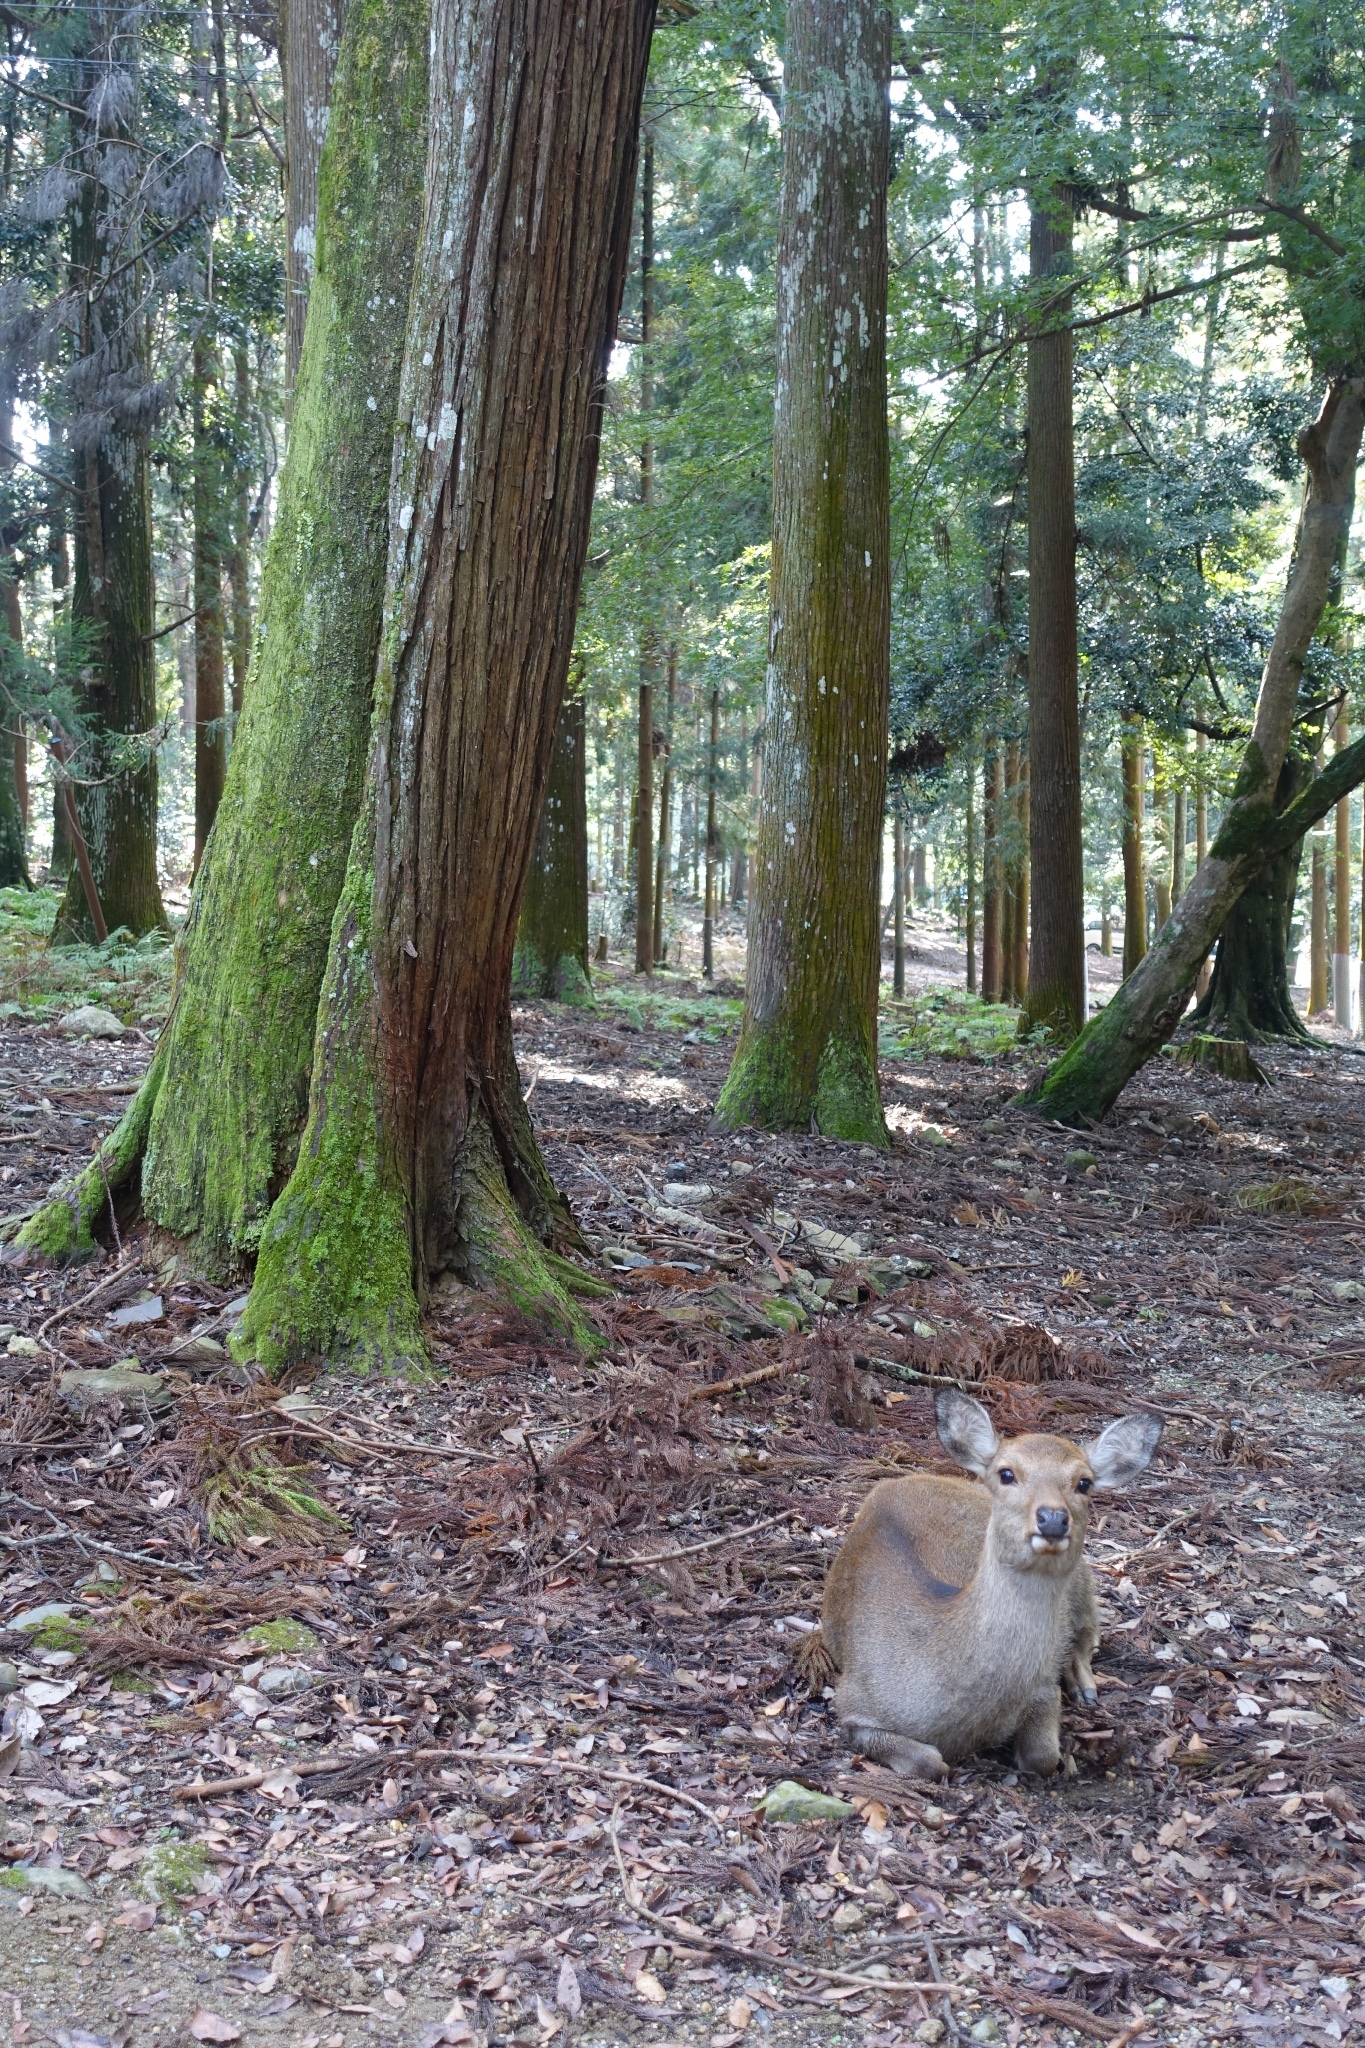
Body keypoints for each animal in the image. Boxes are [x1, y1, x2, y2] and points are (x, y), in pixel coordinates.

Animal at [818, 1392, 1162, 1777]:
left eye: (1084, 1482)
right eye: (1006, 1473)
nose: (1052, 1518)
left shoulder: (1042, 1686)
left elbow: (1045, 1756)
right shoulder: (854, 1699)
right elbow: (931, 1762)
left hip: (1083, 1583)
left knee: (1089, 1630)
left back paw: (1084, 1688)